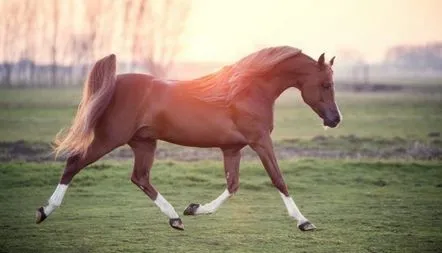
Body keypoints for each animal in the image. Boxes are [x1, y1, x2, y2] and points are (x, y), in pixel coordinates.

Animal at [36, 45, 344, 231]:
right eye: (325, 84)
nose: (335, 119)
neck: (248, 91)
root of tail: (115, 82)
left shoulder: (232, 149)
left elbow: (233, 185)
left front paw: (194, 209)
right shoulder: (260, 142)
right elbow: (278, 179)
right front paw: (304, 221)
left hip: (144, 143)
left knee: (140, 178)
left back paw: (175, 218)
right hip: (109, 139)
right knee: (74, 163)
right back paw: (44, 211)